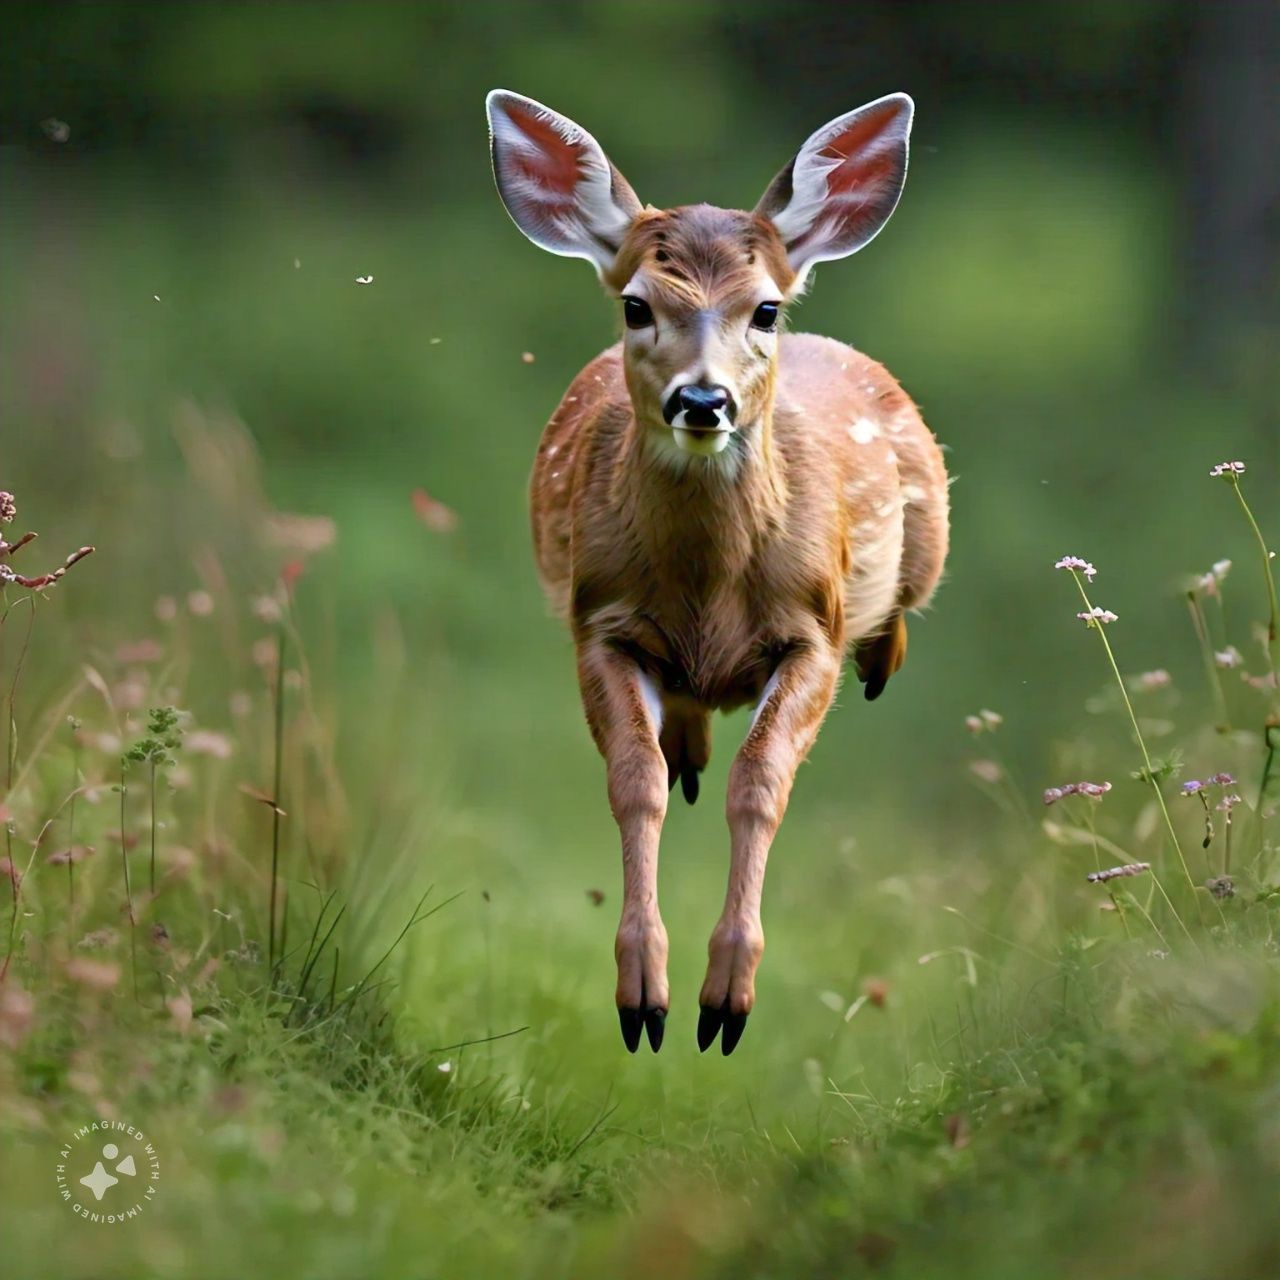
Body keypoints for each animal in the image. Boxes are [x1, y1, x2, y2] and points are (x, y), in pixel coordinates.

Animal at [486, 89, 949, 1056]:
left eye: (765, 310)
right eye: (635, 306)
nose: (703, 400)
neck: (707, 596)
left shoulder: (813, 628)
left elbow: (760, 783)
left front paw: (727, 1001)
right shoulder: (600, 621)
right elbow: (634, 784)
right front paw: (644, 999)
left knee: (892, 620)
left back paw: (879, 663)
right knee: (681, 735)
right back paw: (688, 745)